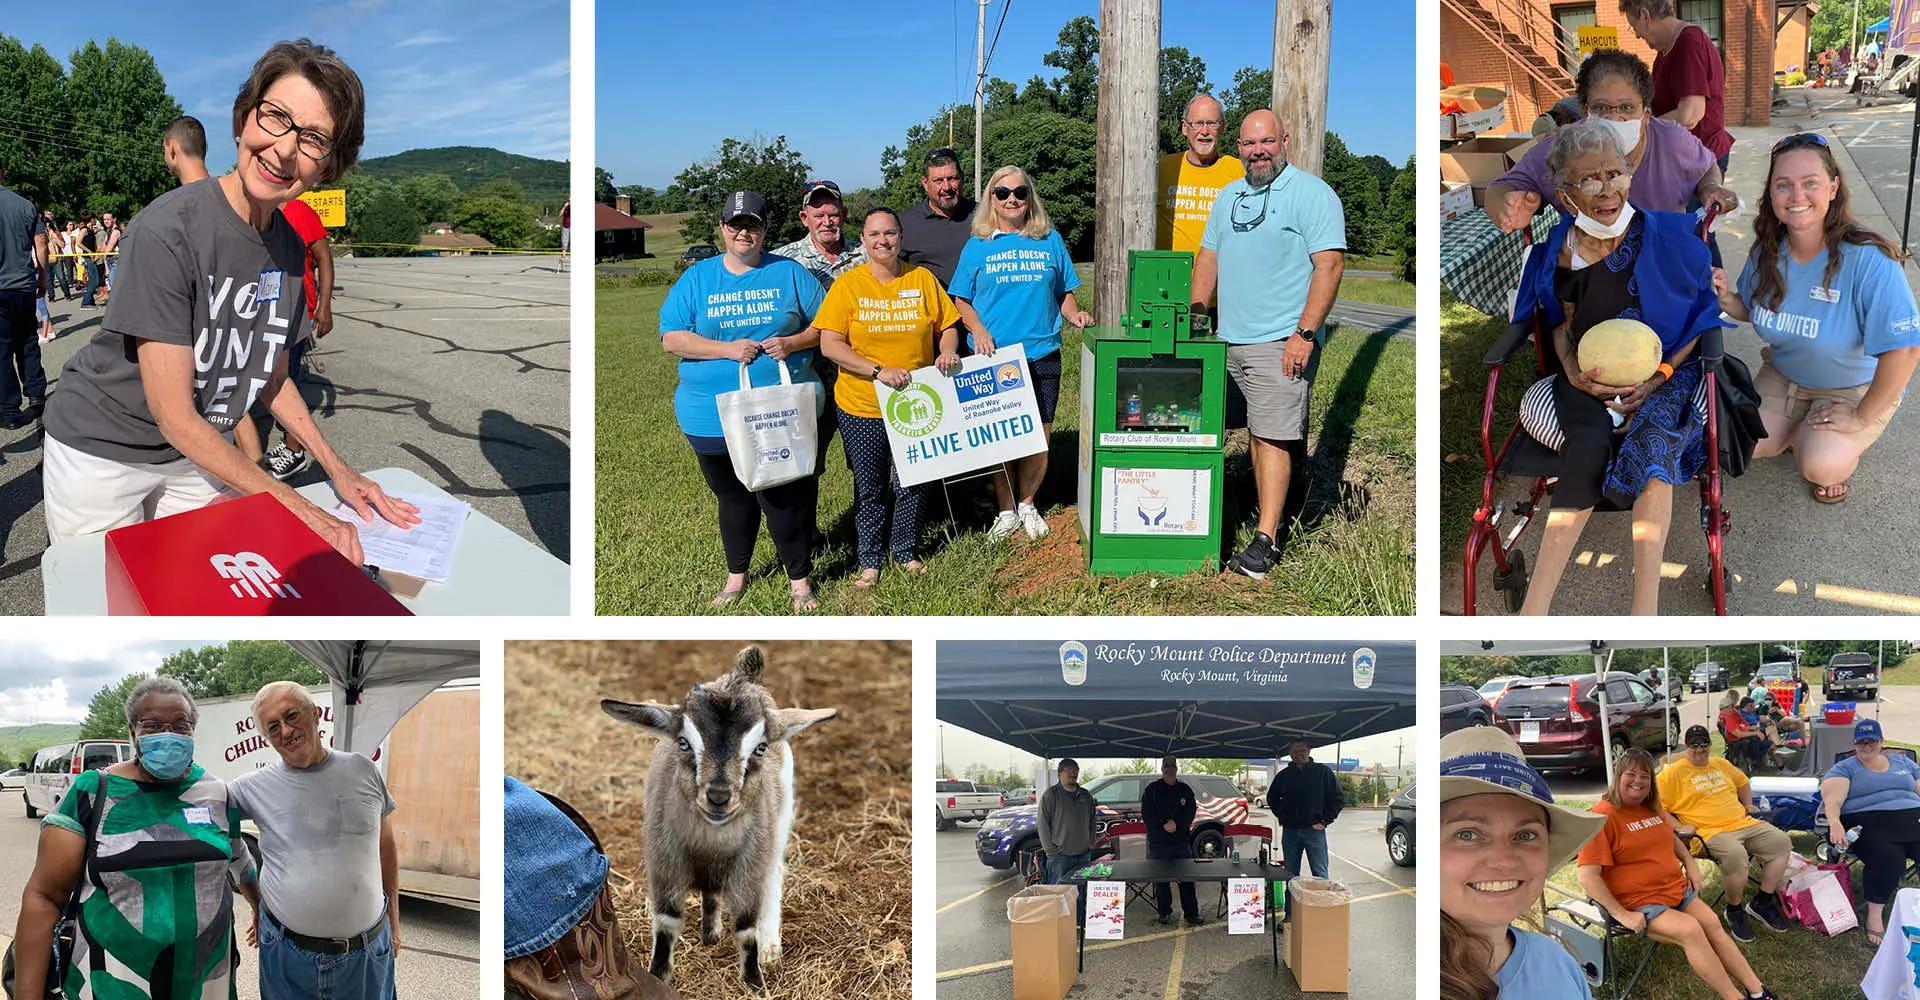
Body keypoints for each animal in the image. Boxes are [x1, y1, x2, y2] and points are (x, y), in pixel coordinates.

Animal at [602, 648, 837, 990]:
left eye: (760, 748)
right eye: (683, 742)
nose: (718, 796)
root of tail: (738, 676)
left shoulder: (750, 864)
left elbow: (746, 927)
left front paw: (756, 983)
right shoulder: (664, 861)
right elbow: (666, 923)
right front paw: (657, 977)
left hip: (778, 824)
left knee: (774, 870)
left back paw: (769, 945)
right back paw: (711, 931)